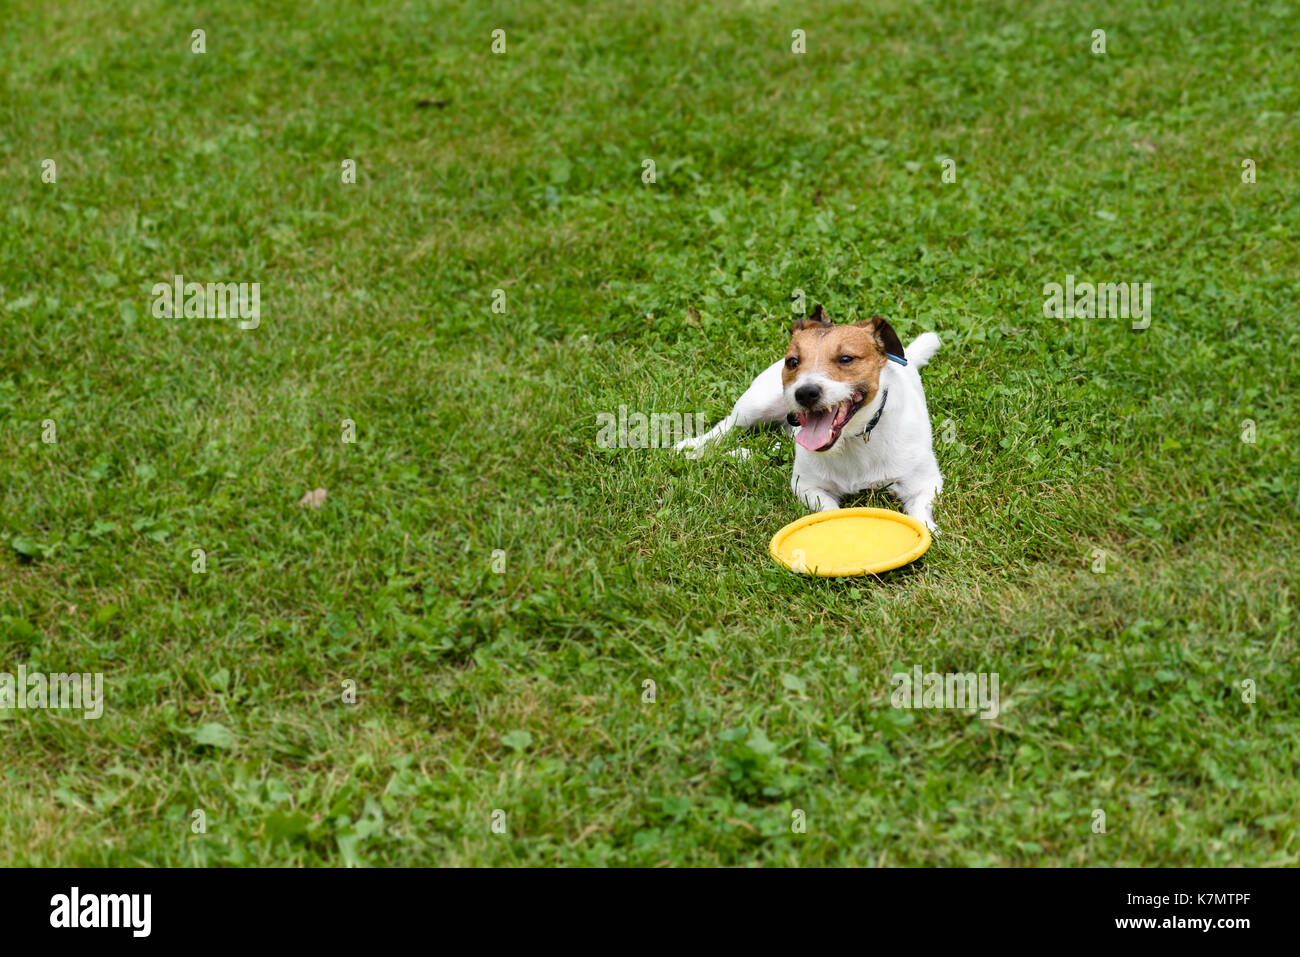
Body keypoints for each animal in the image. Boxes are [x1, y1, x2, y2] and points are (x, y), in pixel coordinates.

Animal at [676, 306, 941, 530]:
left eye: (846, 358)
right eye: (793, 362)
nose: (805, 392)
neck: (852, 441)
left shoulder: (926, 483)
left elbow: (920, 509)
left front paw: (930, 531)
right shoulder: (807, 486)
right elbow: (829, 509)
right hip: (756, 403)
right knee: (727, 426)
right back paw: (695, 445)